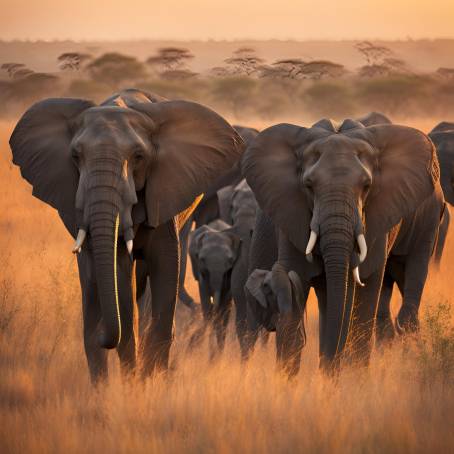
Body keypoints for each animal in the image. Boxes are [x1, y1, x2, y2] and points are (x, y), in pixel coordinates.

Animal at [187, 220, 241, 352]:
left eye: (230, 260)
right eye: (202, 259)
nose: (192, 339)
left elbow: (225, 303)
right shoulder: (200, 271)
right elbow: (205, 299)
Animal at [243, 119, 446, 374]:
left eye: (367, 185)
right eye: (308, 185)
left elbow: (365, 288)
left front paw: (351, 379)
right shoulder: (291, 213)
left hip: (429, 221)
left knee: (411, 275)